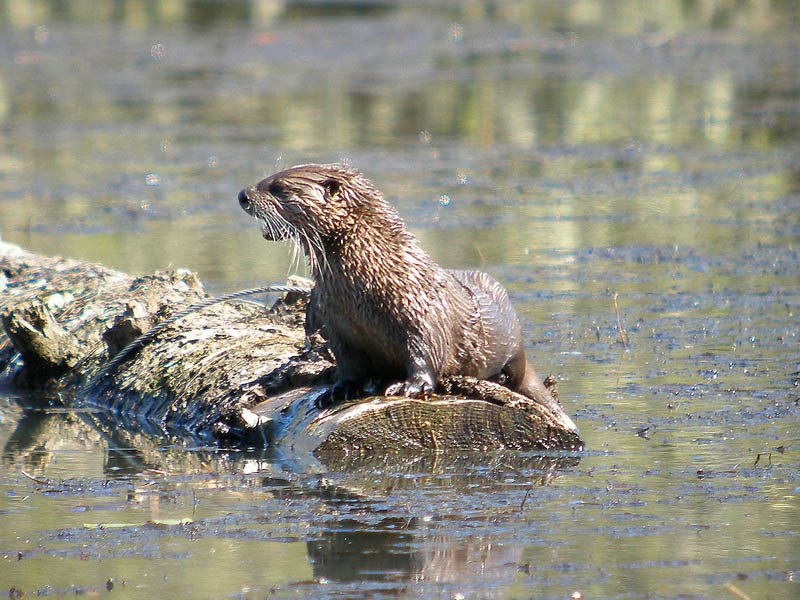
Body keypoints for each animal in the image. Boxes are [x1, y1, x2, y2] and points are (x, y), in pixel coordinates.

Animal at [238, 164, 575, 430]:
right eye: (267, 178)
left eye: (278, 187)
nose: (243, 194)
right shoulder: (339, 327)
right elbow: (350, 365)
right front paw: (338, 390)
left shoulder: (420, 315)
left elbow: (425, 353)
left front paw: (408, 386)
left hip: (513, 347)